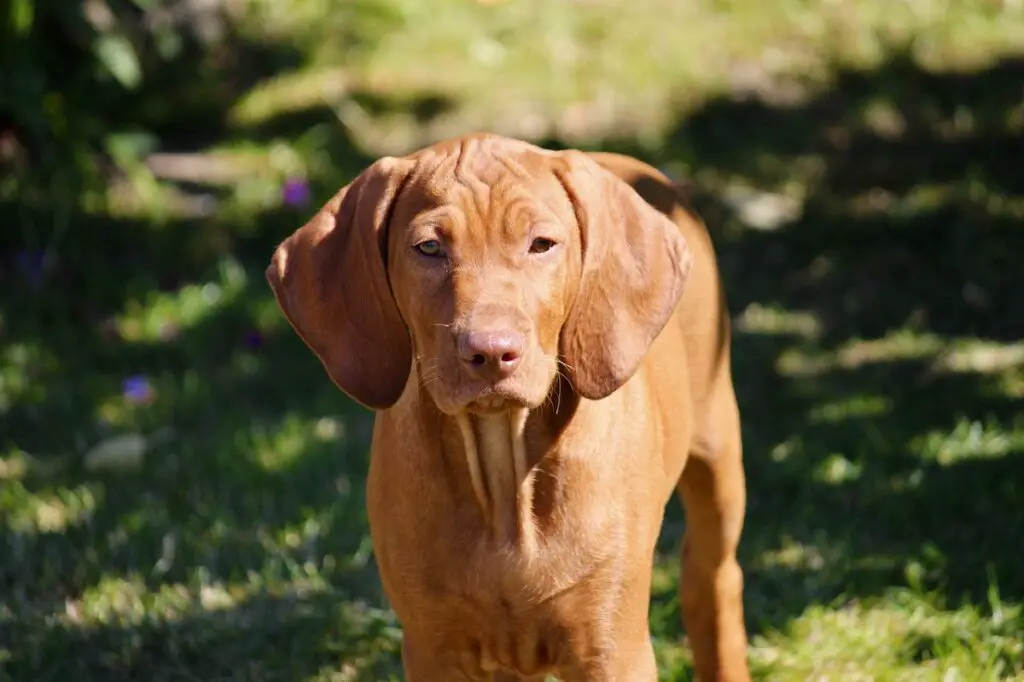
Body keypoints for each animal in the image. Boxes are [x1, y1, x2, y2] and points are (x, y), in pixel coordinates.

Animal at [268, 130, 753, 675]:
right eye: (429, 248)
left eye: (541, 245)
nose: (491, 352)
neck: (502, 472)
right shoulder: (433, 648)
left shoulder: (611, 649)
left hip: (717, 449)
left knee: (713, 578)